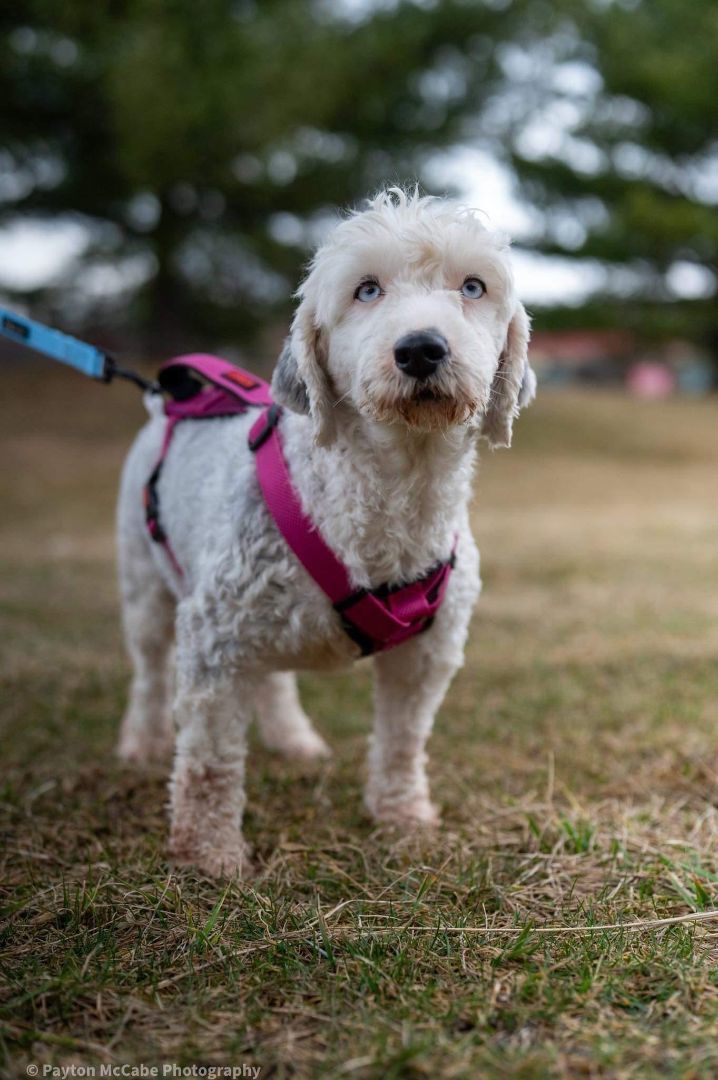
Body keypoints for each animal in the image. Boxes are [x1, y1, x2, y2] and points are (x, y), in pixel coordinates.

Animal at [116, 190, 531, 872]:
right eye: (366, 290)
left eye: (474, 286)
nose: (421, 348)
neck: (393, 492)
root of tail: (161, 405)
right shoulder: (212, 639)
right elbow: (208, 761)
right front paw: (209, 855)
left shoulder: (427, 655)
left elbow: (401, 742)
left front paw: (404, 819)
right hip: (147, 584)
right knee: (150, 674)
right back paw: (141, 745)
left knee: (273, 681)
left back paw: (294, 740)